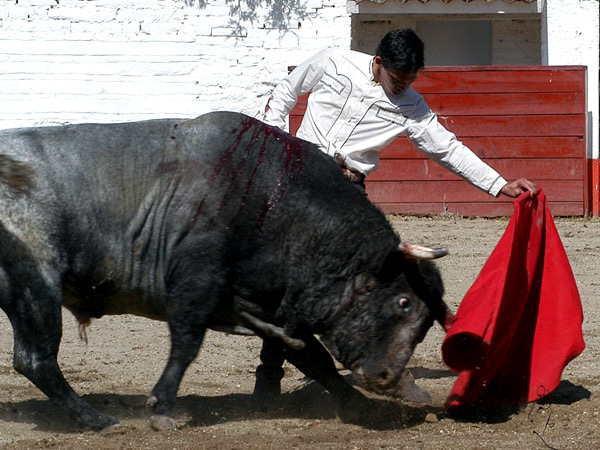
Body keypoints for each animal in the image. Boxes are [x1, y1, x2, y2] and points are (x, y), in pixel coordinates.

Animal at [0, 111, 450, 428]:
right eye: (404, 302)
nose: (389, 376)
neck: (274, 203)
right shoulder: (195, 288)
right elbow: (186, 346)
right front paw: (162, 409)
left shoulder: (274, 309)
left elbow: (314, 359)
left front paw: (361, 408)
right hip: (37, 287)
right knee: (36, 360)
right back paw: (96, 420)